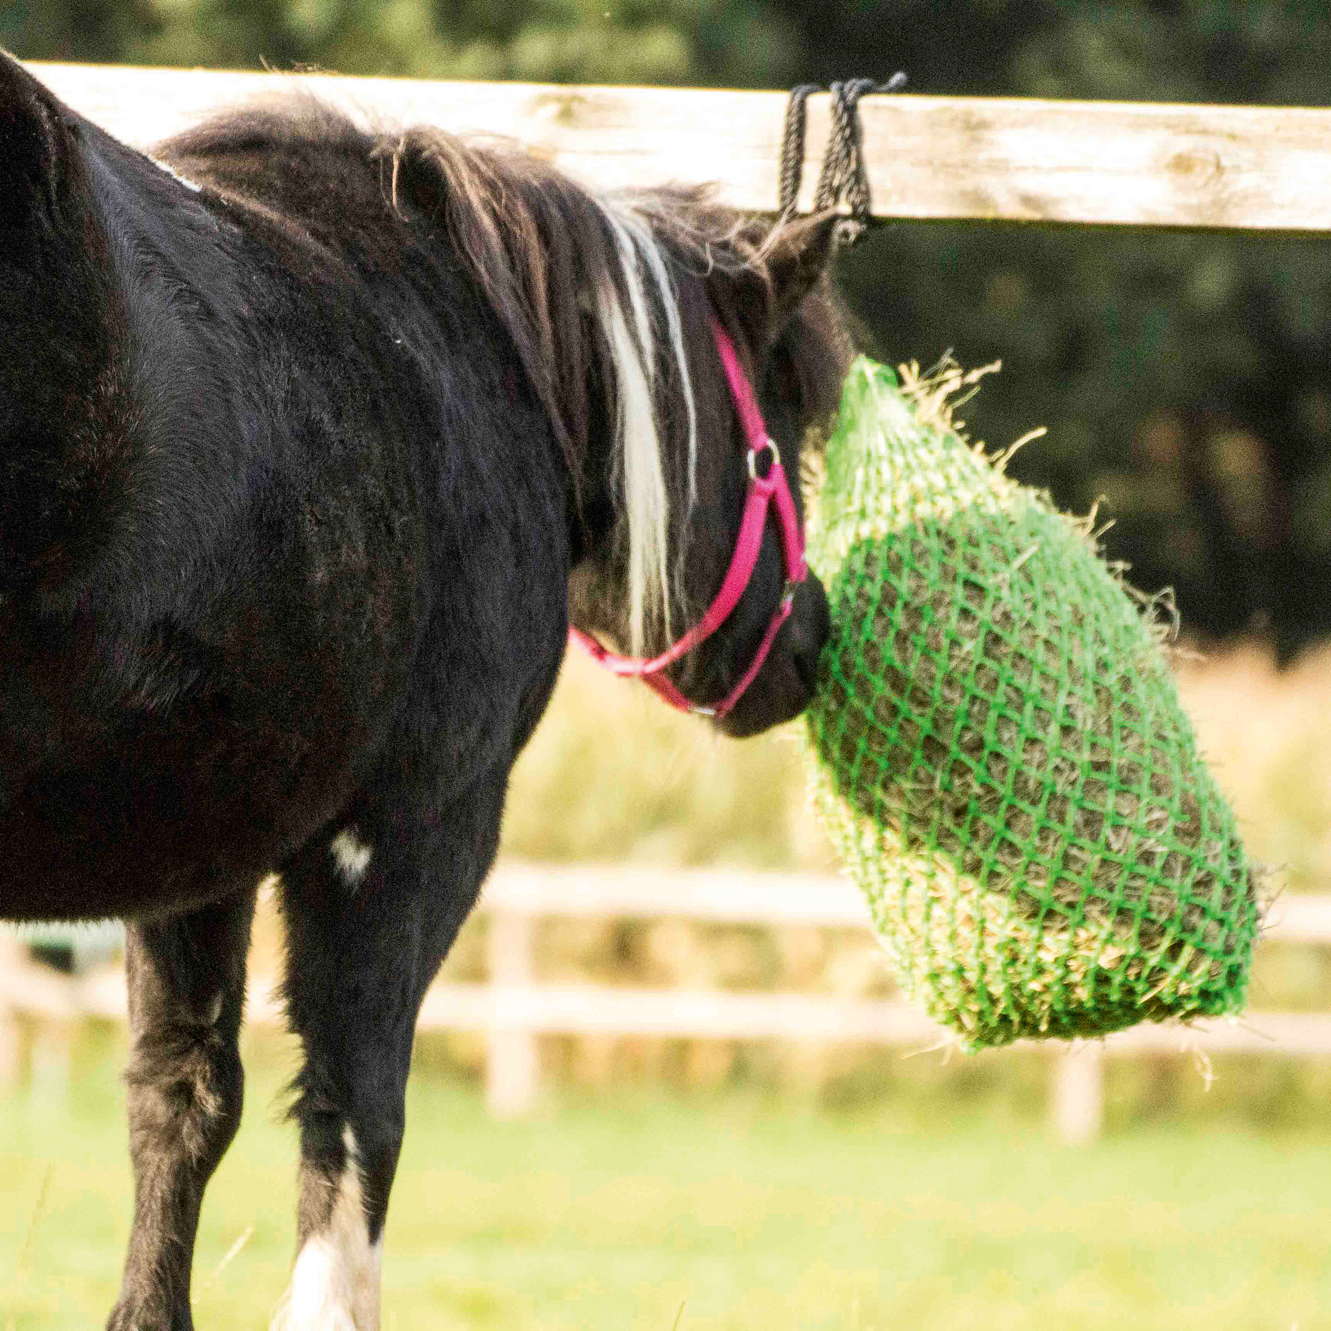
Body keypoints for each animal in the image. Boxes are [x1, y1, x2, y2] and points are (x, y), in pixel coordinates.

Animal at [0, 54, 851, 1331]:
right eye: (778, 431)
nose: (807, 639)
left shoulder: (195, 840)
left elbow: (182, 1097)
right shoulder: (419, 827)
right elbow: (356, 1106)